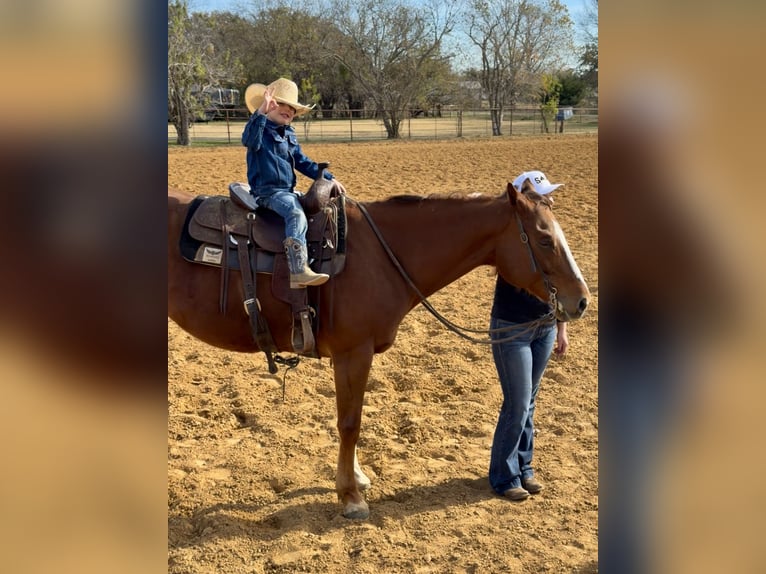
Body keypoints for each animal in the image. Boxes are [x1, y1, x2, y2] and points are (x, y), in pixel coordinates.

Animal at [167, 180, 590, 519]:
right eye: (544, 239)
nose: (582, 300)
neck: (379, 255)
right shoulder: (353, 353)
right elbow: (350, 422)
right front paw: (350, 496)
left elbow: (353, 419)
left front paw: (355, 477)